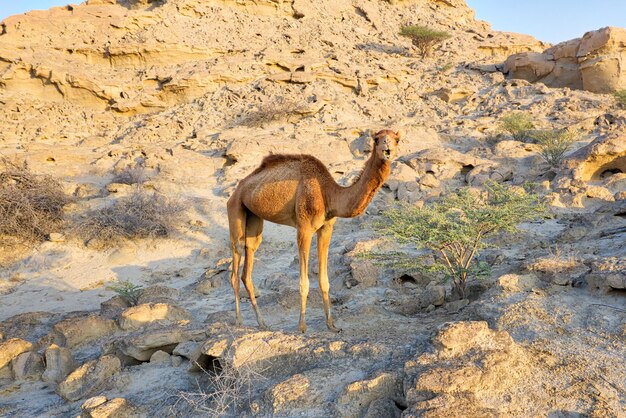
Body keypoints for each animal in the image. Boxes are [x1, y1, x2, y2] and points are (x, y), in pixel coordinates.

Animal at [225, 129, 400, 332]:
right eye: (377, 139)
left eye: (397, 139)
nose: (387, 148)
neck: (329, 194)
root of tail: (238, 188)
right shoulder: (304, 229)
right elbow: (304, 282)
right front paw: (302, 326)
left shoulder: (326, 228)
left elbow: (324, 280)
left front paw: (332, 325)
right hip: (235, 208)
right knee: (236, 261)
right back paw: (239, 320)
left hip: (253, 217)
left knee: (248, 261)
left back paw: (262, 322)